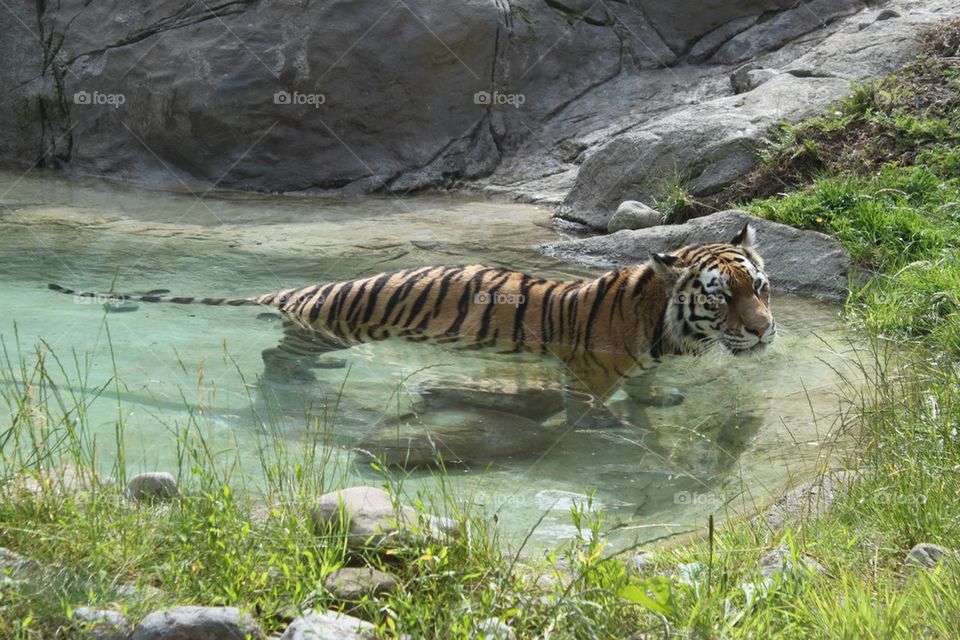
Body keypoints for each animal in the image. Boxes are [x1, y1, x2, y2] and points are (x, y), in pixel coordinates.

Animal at [47, 223, 775, 429]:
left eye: (760, 288)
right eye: (721, 296)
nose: (766, 331)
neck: (666, 323)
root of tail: (299, 286)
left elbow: (651, 387)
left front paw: (663, 398)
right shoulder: (586, 376)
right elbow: (596, 411)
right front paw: (617, 427)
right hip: (323, 325)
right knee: (272, 357)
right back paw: (298, 386)